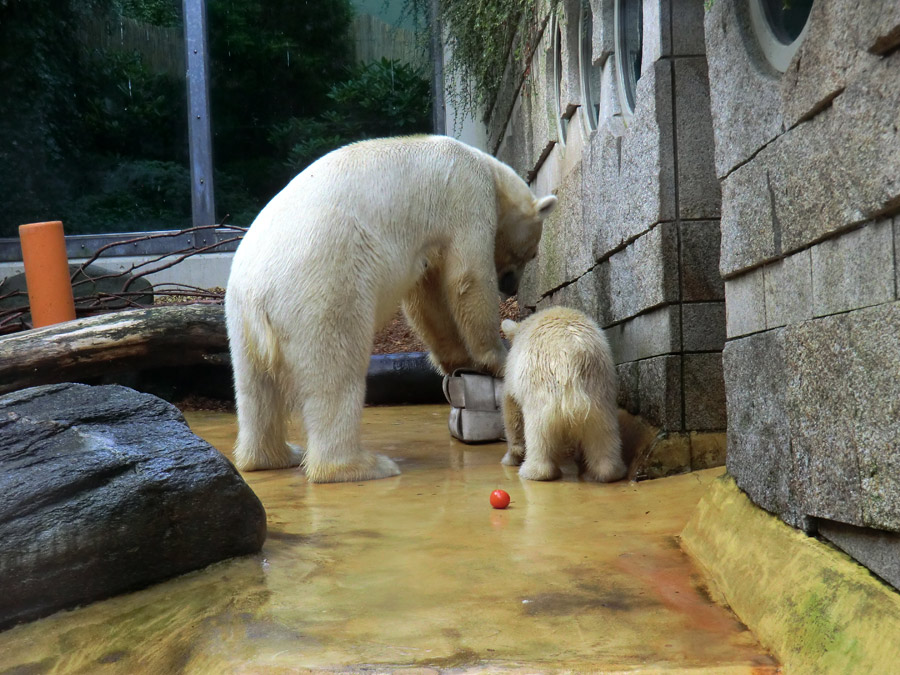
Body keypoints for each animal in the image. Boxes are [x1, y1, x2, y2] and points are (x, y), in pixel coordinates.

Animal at [225, 136, 556, 480]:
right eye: (532, 253)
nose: (511, 288)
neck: (487, 167)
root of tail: (256, 293)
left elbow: (426, 298)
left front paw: (458, 360)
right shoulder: (464, 192)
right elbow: (467, 277)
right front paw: (497, 357)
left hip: (240, 319)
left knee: (254, 389)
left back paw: (272, 456)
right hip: (321, 290)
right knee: (335, 371)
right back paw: (360, 465)